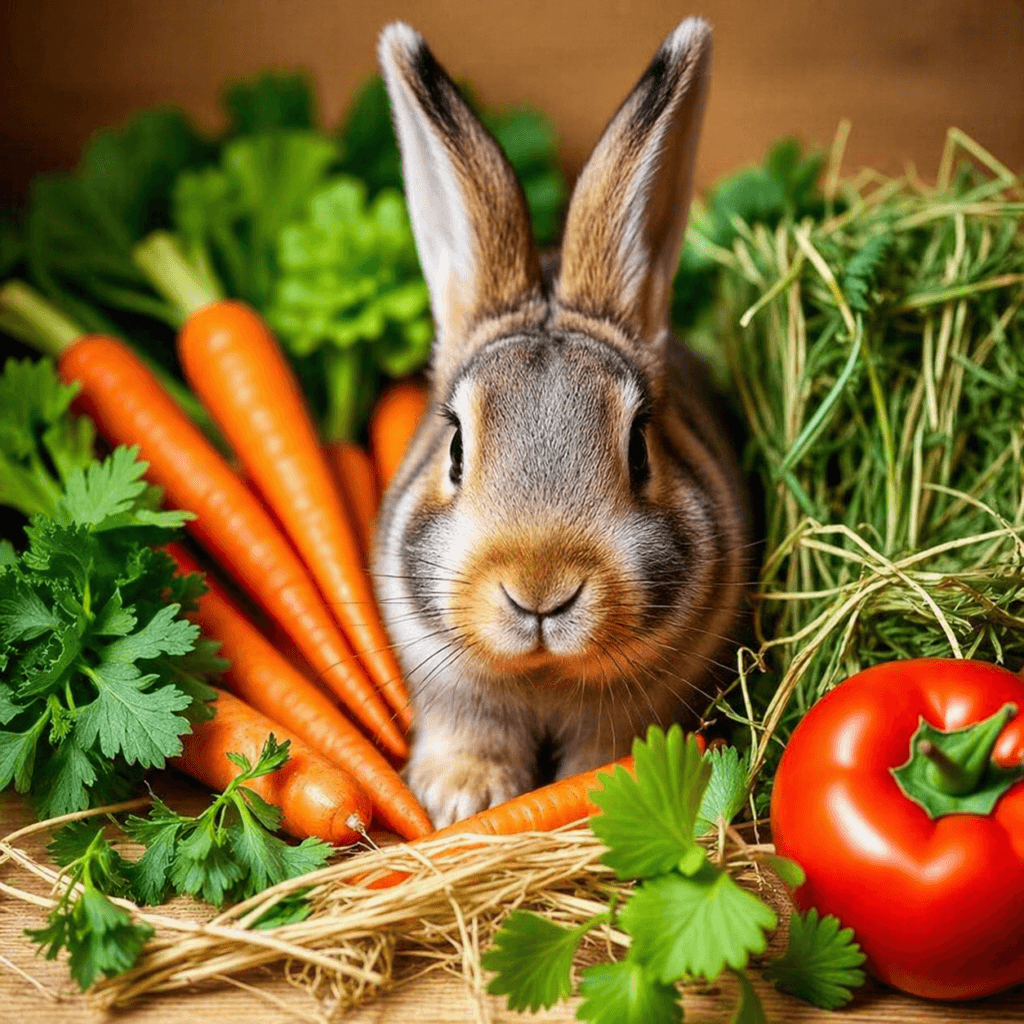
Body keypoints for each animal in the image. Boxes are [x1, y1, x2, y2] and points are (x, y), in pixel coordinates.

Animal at [373, 17, 749, 827]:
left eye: (640, 449)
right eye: (456, 446)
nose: (539, 592)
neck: (545, 673)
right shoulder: (450, 688)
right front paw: (464, 797)